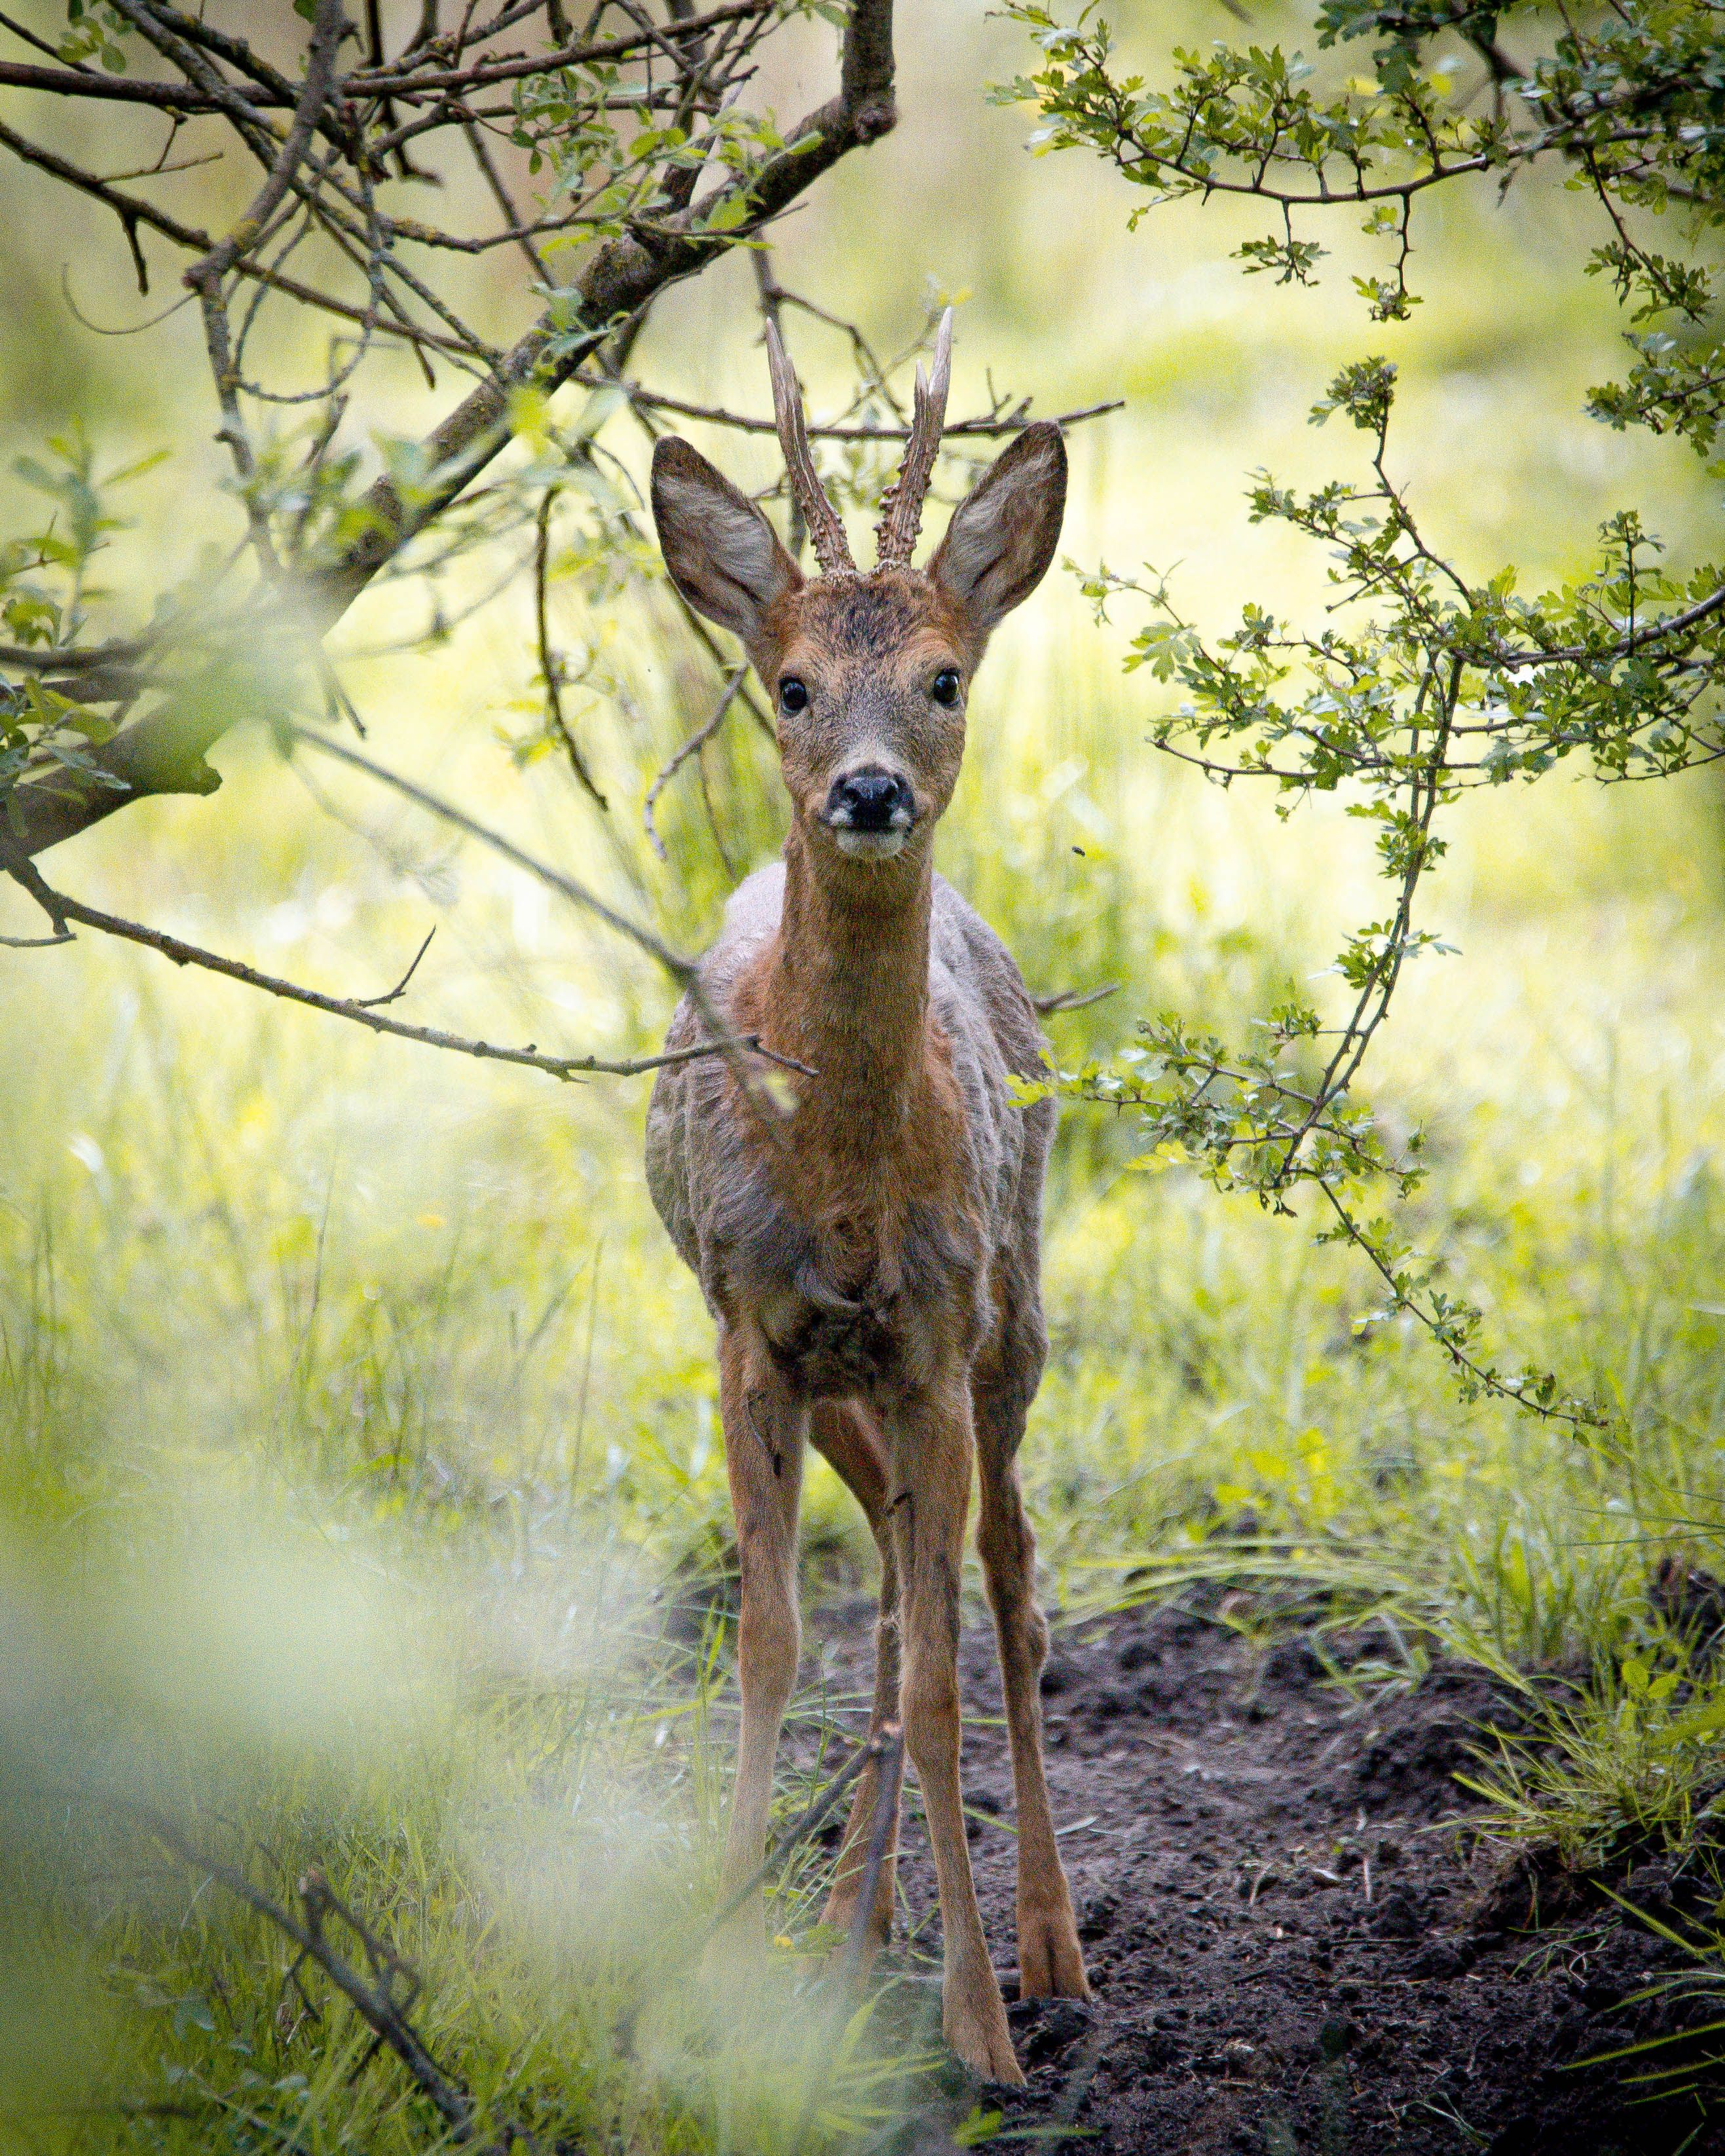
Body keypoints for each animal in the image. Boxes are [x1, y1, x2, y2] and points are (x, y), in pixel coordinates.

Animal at [644, 312, 1088, 2085]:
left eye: (946, 675)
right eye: (790, 685)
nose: (872, 791)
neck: (834, 1187)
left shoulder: (933, 1331)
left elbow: (951, 1656)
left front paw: (982, 2037)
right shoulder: (748, 1331)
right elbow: (774, 1640)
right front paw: (702, 1986)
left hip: (1010, 1324)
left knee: (1006, 1591)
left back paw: (1050, 1956)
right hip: (856, 1388)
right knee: (900, 1605)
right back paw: (847, 1928)